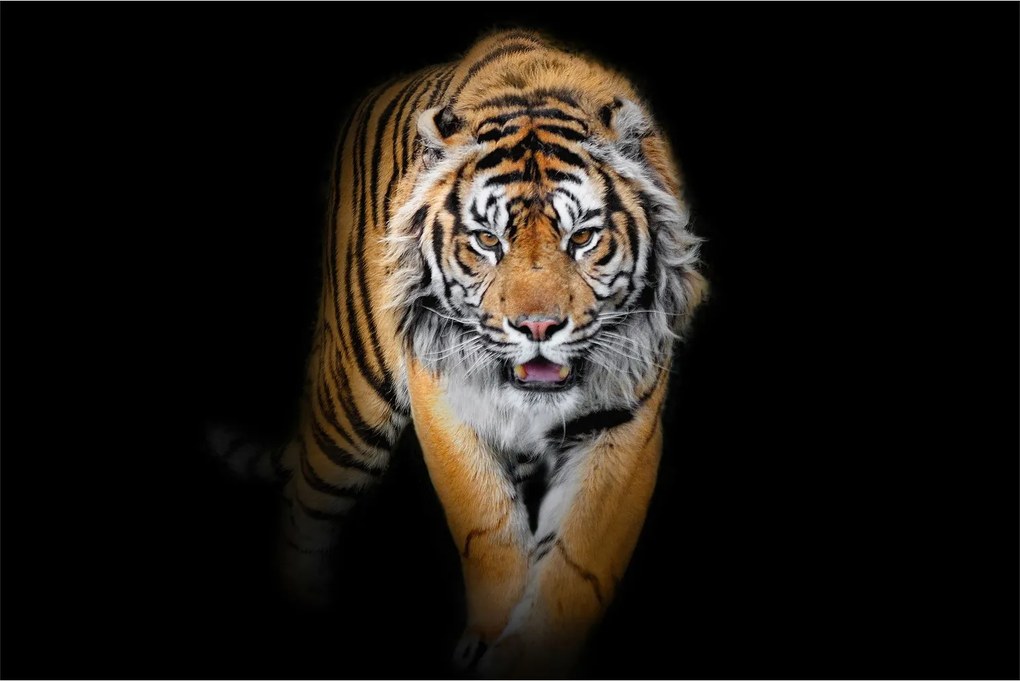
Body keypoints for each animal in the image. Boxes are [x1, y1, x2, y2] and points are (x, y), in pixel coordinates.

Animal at [210, 28, 706, 677]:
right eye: (487, 241)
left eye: (583, 238)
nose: (538, 325)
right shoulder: (444, 397)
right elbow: (488, 528)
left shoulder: (625, 420)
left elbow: (578, 562)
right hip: (352, 405)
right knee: (305, 508)